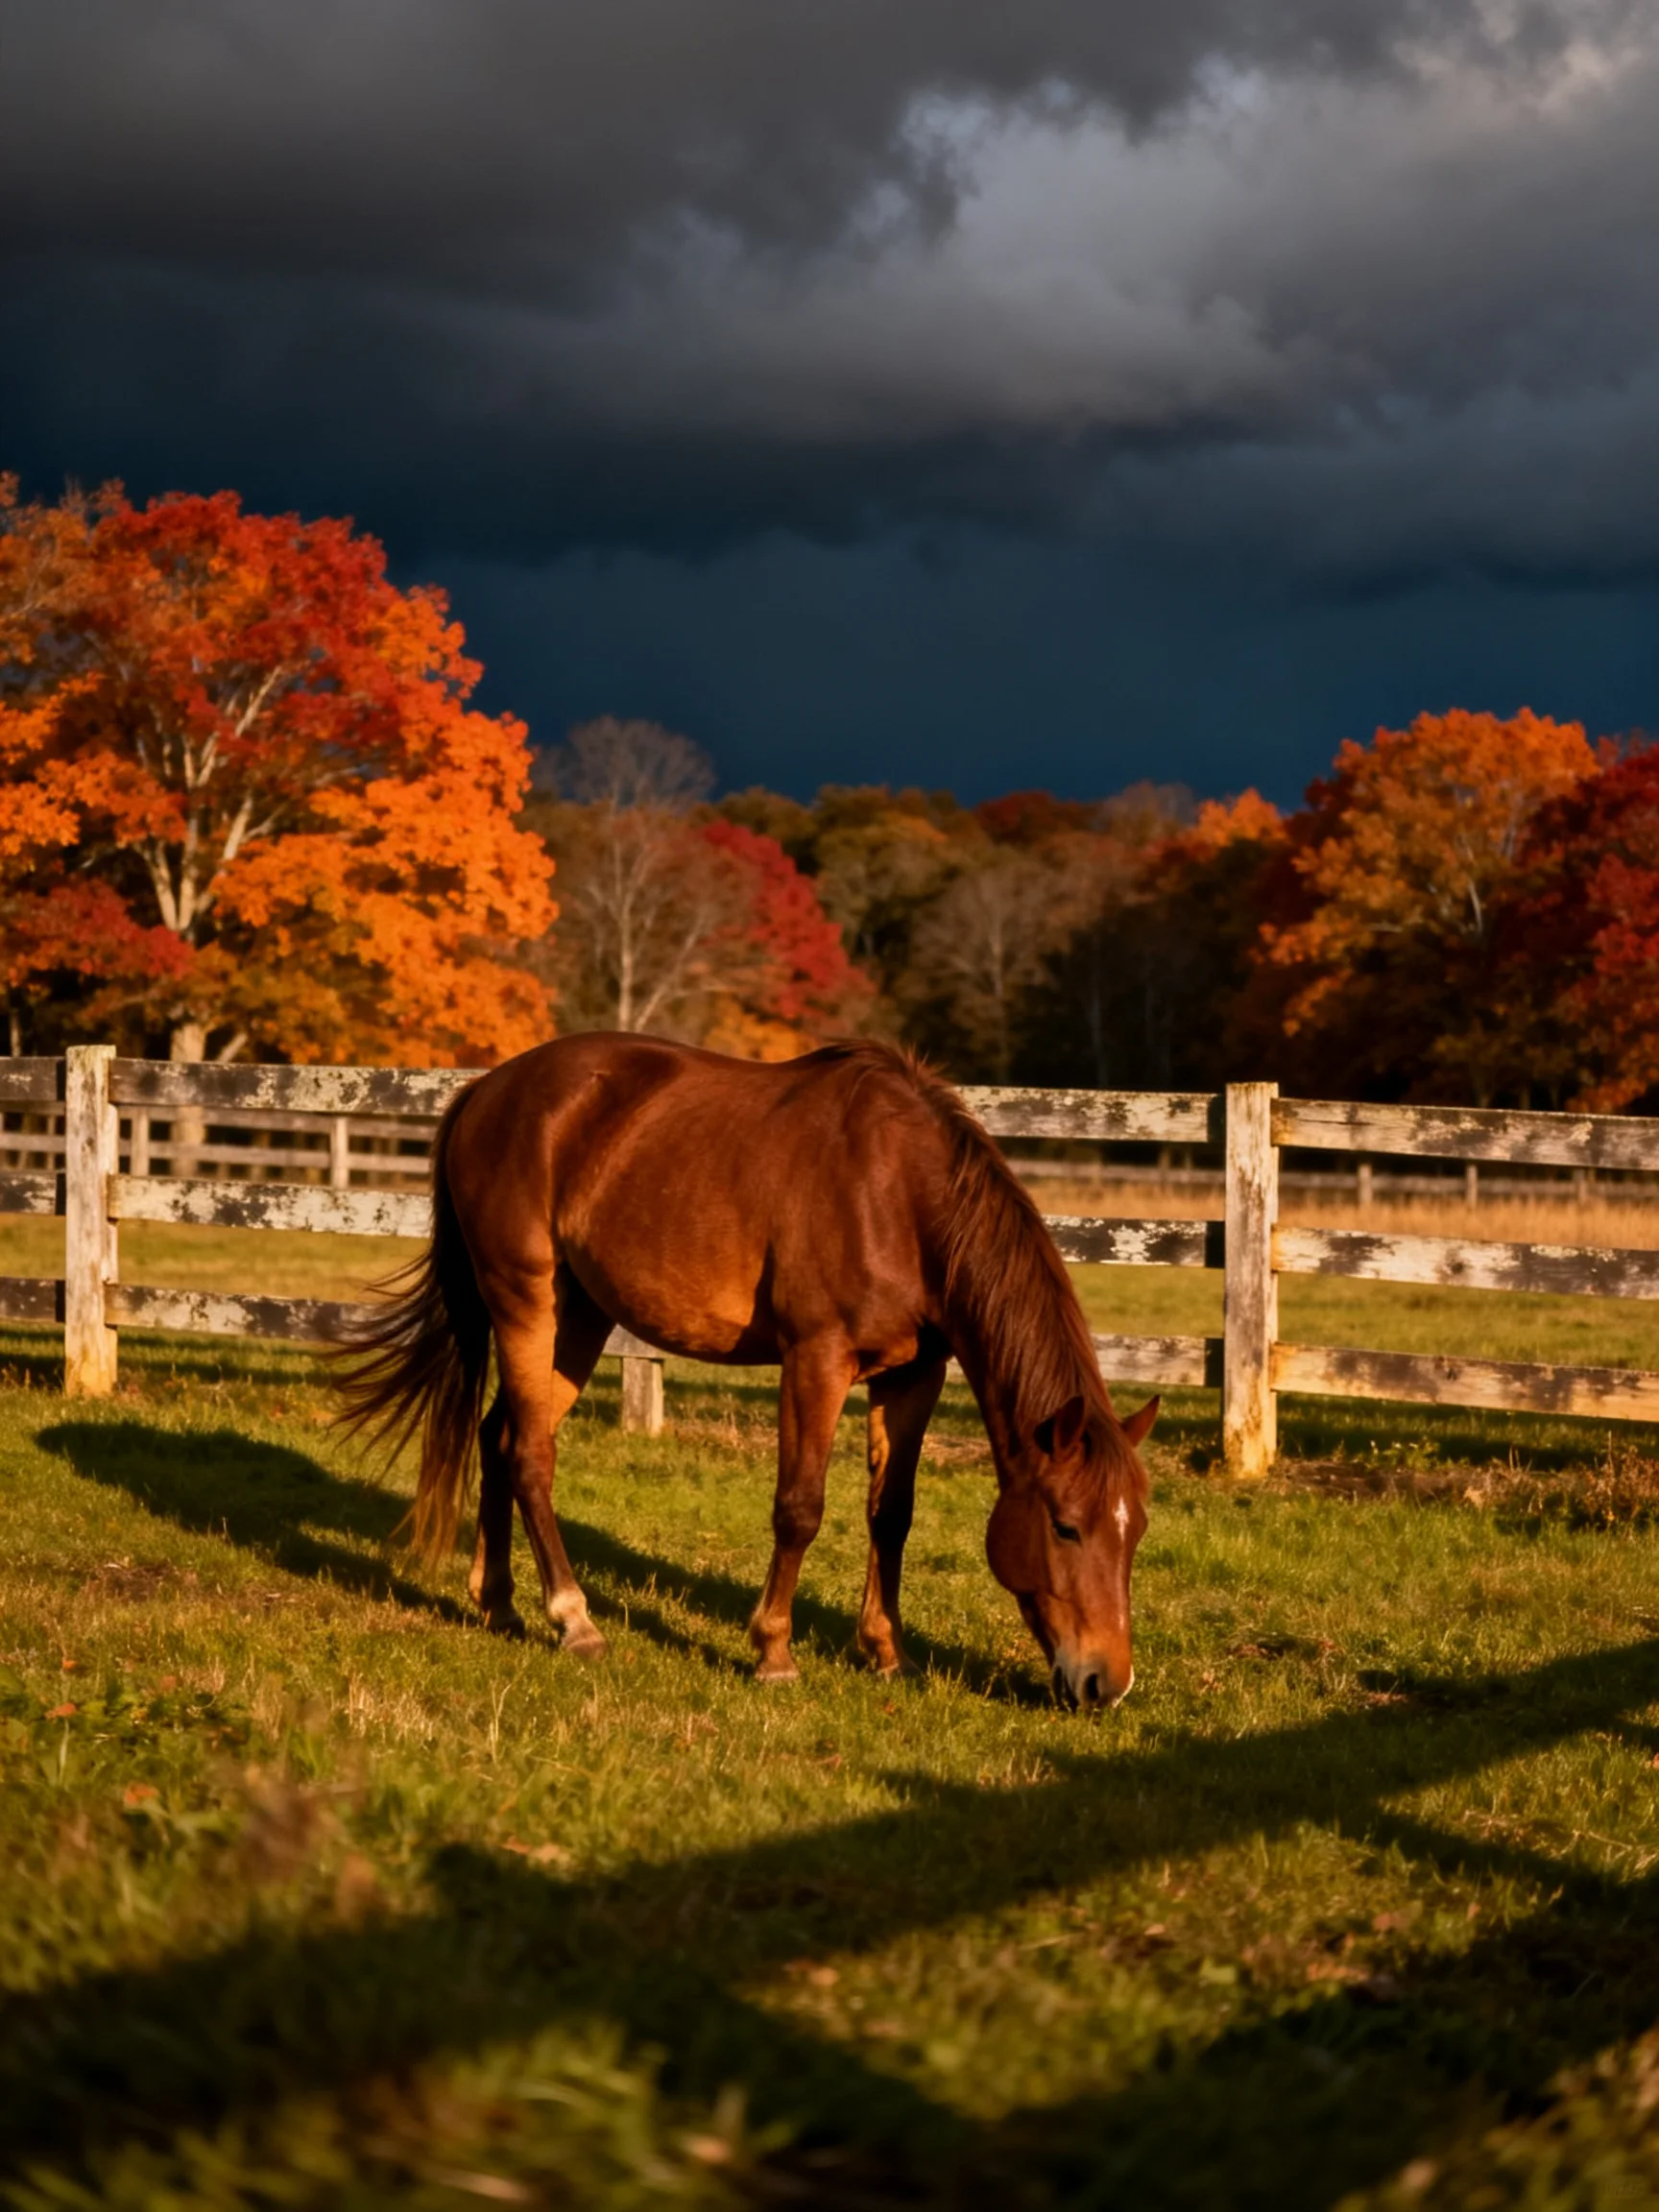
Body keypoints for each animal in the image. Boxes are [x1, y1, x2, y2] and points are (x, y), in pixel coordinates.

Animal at [339, 1035, 1156, 1710]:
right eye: (1066, 1526)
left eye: (1137, 1530)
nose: (1106, 1683)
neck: (899, 1195)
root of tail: (485, 1091)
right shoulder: (816, 1359)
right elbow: (800, 1508)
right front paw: (773, 1653)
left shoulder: (914, 1375)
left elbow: (890, 1514)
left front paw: (886, 1651)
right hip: (525, 1302)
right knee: (529, 1455)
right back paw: (573, 1620)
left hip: (579, 1317)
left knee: (499, 1436)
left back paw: (499, 1601)